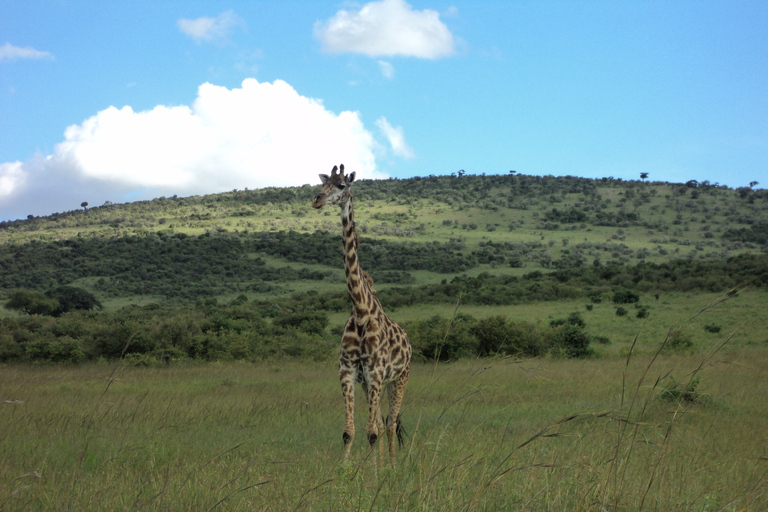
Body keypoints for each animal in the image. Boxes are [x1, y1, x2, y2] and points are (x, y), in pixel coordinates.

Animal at [310, 165, 412, 468]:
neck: (361, 309)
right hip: (371, 384)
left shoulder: (376, 373)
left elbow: (372, 432)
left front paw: (375, 474)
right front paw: (346, 471)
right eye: (324, 183)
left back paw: (391, 465)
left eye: (342, 185)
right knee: (380, 421)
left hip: (399, 378)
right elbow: (350, 431)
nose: (317, 200)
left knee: (390, 423)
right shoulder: (348, 372)